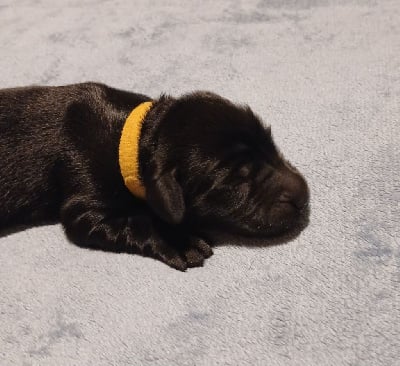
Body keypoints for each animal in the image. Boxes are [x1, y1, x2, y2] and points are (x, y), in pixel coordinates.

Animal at [0, 83, 310, 272]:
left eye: (271, 144)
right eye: (235, 180)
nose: (303, 196)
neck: (131, 139)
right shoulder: (84, 203)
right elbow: (137, 220)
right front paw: (179, 241)